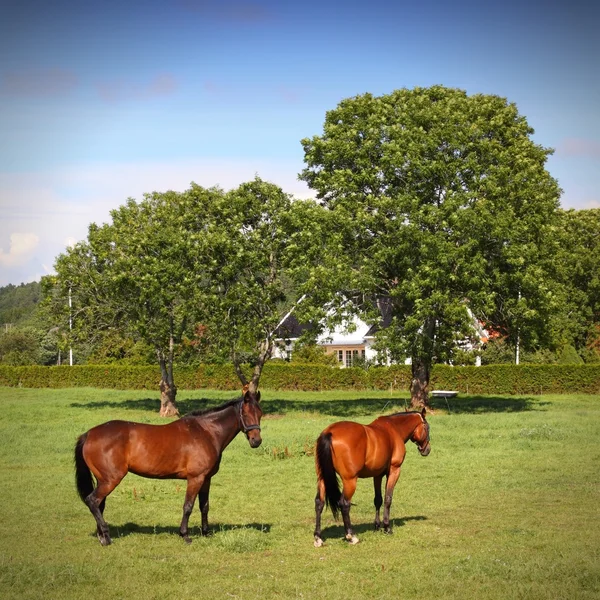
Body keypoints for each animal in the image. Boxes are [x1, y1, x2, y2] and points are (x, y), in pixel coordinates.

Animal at [75, 386, 262, 548]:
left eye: (260, 413)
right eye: (245, 413)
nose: (256, 441)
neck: (206, 432)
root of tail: (89, 434)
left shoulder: (206, 479)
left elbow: (204, 506)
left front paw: (206, 532)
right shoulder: (195, 478)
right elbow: (188, 506)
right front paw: (185, 535)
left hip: (103, 480)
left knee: (99, 504)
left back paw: (102, 535)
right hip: (111, 479)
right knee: (92, 501)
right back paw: (106, 537)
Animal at [314, 410, 432, 548]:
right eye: (427, 428)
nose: (427, 450)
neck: (394, 429)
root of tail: (330, 432)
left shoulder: (377, 475)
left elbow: (378, 500)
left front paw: (377, 526)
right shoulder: (394, 471)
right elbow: (388, 499)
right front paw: (386, 527)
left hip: (322, 479)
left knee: (319, 503)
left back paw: (318, 537)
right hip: (350, 480)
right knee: (344, 504)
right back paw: (351, 536)